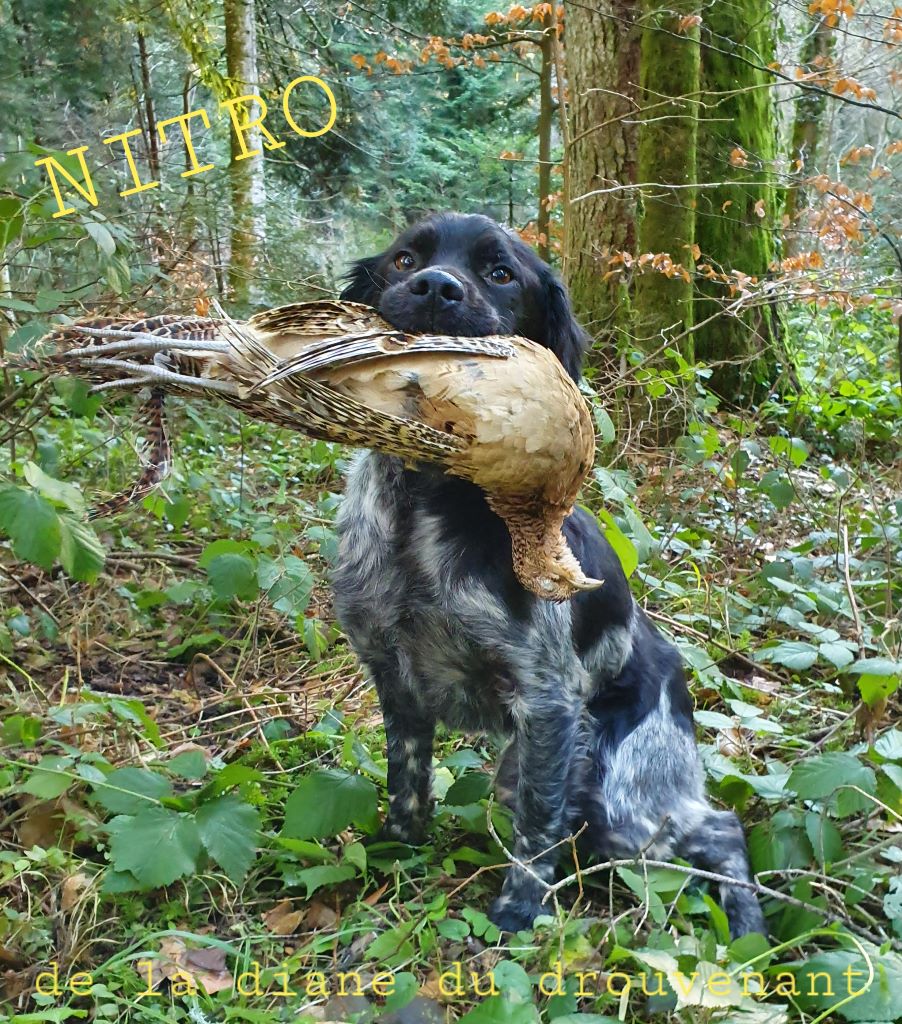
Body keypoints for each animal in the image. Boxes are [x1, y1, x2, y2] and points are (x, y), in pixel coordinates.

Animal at [332, 212, 765, 937]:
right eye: (404, 259)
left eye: (501, 273)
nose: (436, 288)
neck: (424, 508)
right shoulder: (396, 681)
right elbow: (407, 782)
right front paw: (396, 850)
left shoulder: (549, 701)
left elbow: (536, 829)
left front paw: (515, 914)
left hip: (620, 796)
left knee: (719, 828)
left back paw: (749, 930)